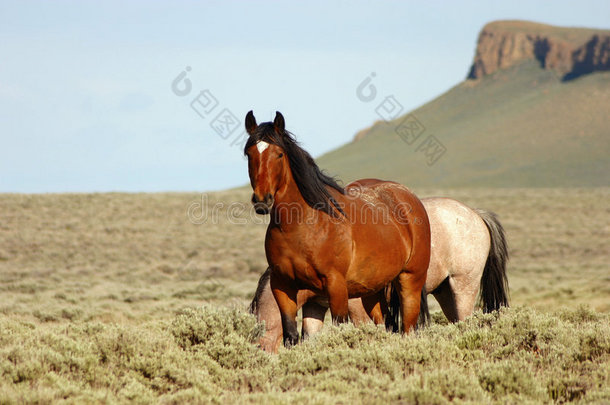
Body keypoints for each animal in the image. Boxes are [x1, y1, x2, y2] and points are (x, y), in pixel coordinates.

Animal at [242, 111, 428, 348]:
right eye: (249, 154)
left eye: (279, 154)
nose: (262, 200)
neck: (303, 226)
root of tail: (407, 196)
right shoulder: (283, 286)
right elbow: (292, 336)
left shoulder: (336, 287)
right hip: (372, 293)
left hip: (410, 283)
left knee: (407, 329)